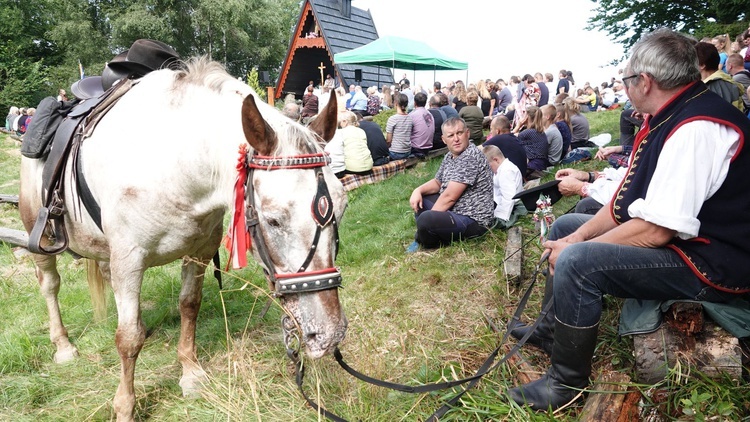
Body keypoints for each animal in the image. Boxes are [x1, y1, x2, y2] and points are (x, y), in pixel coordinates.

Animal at [17, 58, 346, 422]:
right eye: (273, 219)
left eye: (342, 206)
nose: (328, 333)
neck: (173, 162)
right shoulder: (129, 260)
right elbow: (127, 338)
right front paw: (125, 406)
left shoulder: (198, 252)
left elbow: (189, 306)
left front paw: (190, 373)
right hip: (40, 237)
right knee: (50, 285)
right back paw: (62, 345)